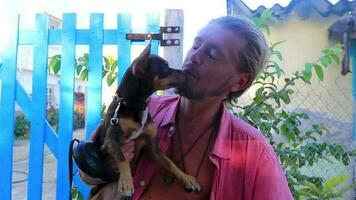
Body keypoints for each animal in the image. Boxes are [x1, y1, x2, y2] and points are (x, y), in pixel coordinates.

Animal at [83, 43, 200, 198]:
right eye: (164, 67)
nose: (185, 73)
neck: (135, 106)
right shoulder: (111, 140)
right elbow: (122, 158)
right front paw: (126, 182)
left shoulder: (153, 147)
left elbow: (170, 163)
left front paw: (186, 177)